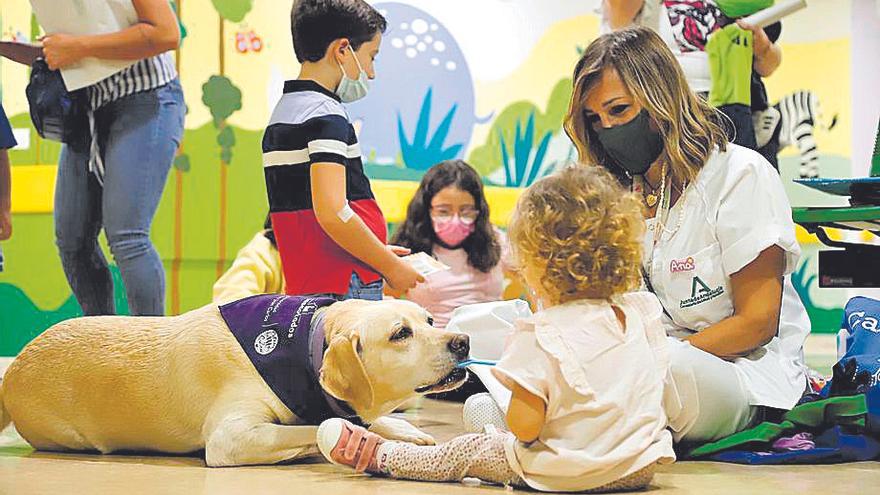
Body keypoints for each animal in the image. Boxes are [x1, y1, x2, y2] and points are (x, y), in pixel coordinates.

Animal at [0, 296, 470, 466]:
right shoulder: (230, 438)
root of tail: (14, 368)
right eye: (400, 334)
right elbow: (315, 425)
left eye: (429, 320)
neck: (305, 343)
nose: (463, 341)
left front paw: (402, 428)